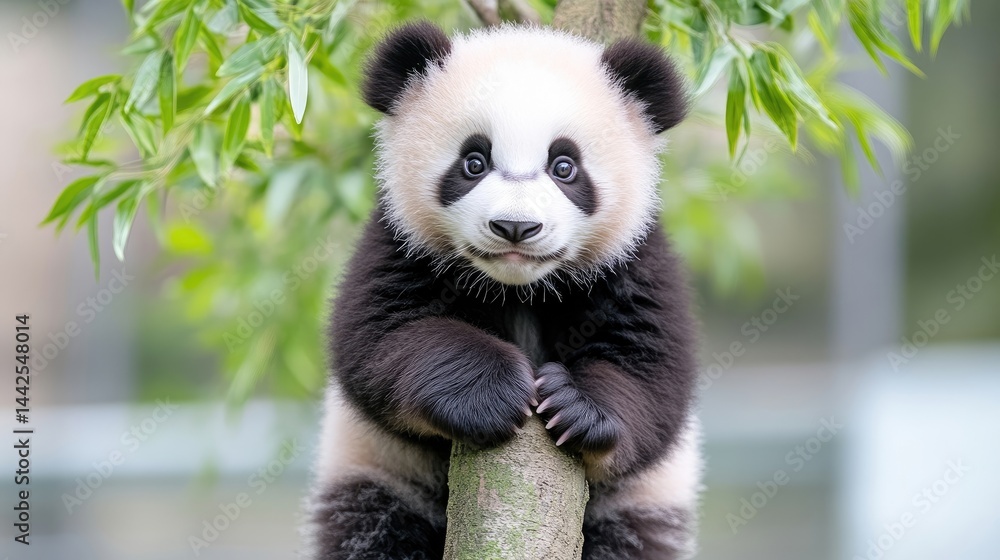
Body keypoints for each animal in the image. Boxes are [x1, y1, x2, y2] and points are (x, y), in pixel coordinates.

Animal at [305, 21, 701, 560]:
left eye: (564, 166)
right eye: (474, 161)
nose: (515, 227)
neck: (519, 288)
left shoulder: (632, 261)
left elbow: (650, 365)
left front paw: (574, 404)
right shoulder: (399, 244)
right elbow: (384, 333)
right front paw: (491, 392)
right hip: (379, 474)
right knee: (377, 530)